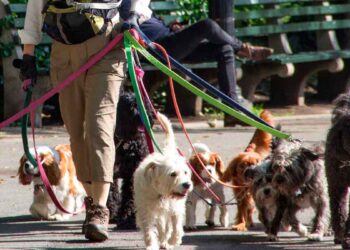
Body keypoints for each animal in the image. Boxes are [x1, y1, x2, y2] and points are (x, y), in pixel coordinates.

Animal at [107, 87, 152, 229]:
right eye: (132, 106)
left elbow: (129, 196)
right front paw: (112, 213)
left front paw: (127, 218)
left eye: (144, 104)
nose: (148, 116)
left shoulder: (132, 173)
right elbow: (111, 193)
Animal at [134, 114, 194, 250]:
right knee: (161, 226)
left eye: (185, 172)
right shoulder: (146, 211)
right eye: (173, 174)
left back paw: (166, 241)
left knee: (167, 227)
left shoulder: (175, 208)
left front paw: (172, 241)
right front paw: (151, 245)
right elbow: (149, 229)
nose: (187, 185)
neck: (161, 193)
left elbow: (176, 228)